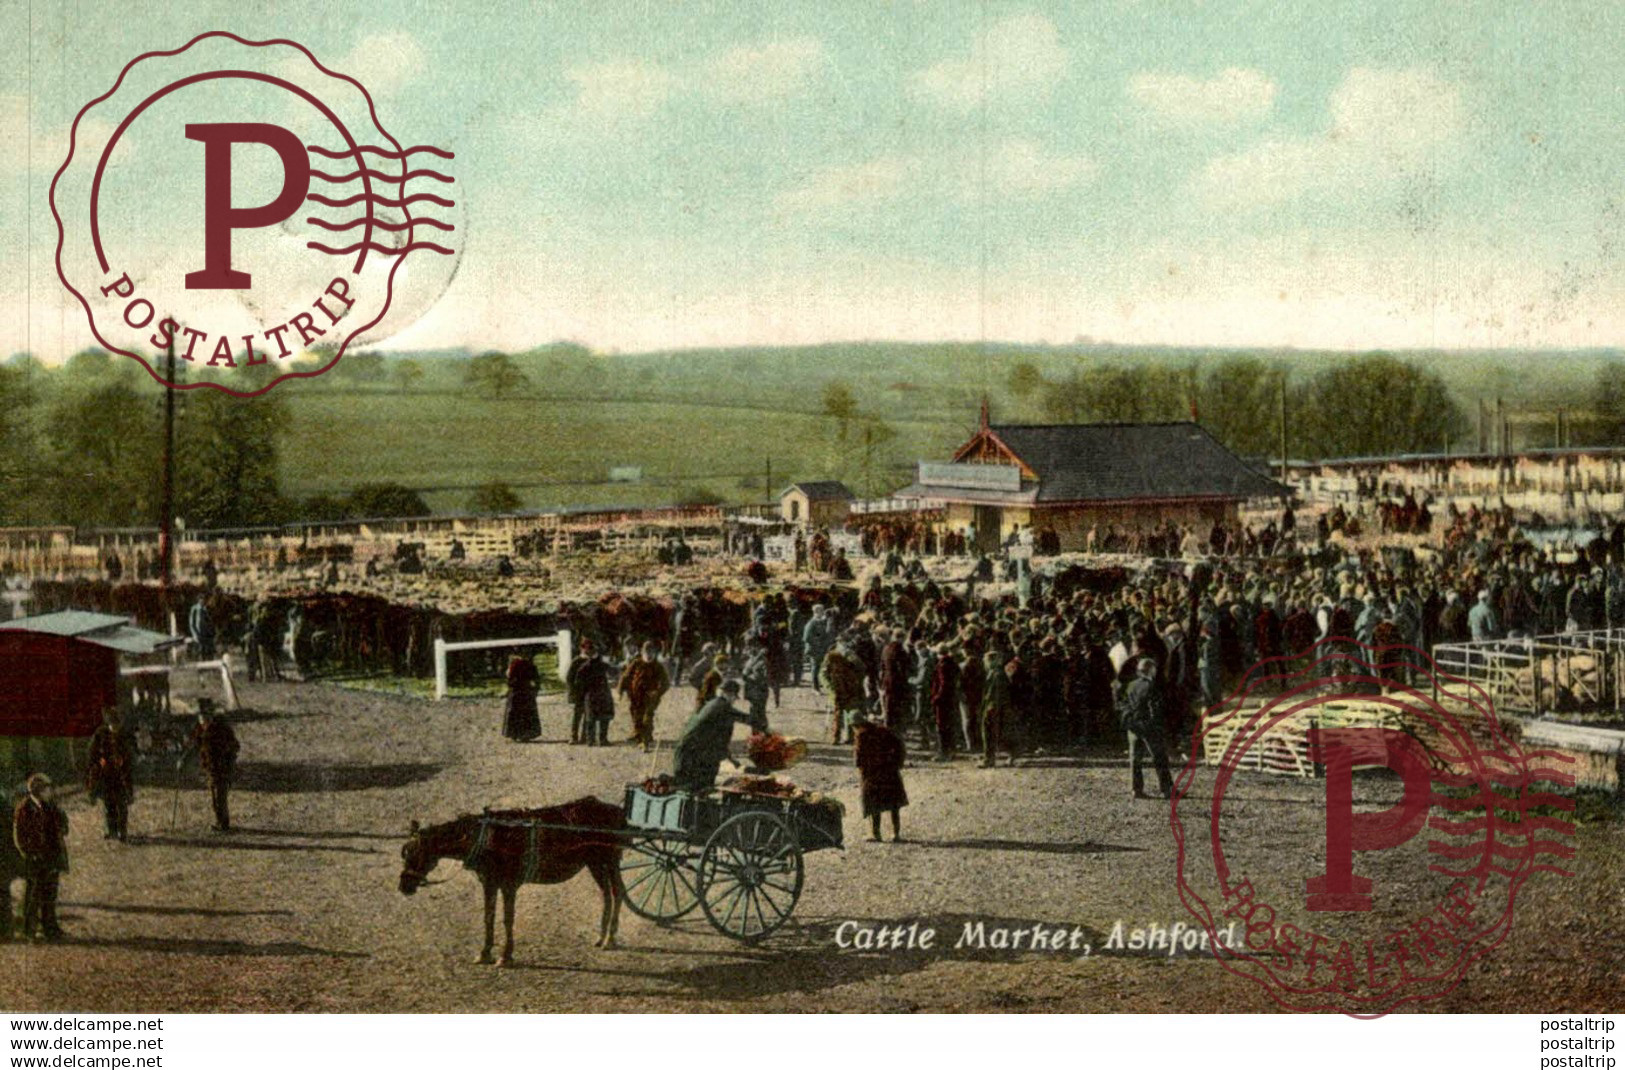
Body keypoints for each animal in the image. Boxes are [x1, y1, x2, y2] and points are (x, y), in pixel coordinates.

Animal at [401, 790, 627, 956]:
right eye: (404, 852)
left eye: (415, 853)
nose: (403, 886)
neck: (485, 837)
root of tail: (618, 811)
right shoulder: (489, 882)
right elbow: (488, 916)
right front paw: (484, 952)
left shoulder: (509, 884)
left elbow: (507, 918)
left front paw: (505, 955)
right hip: (594, 862)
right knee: (607, 894)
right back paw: (602, 936)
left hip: (609, 860)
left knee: (617, 892)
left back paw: (610, 938)